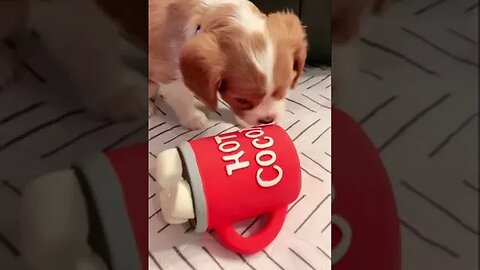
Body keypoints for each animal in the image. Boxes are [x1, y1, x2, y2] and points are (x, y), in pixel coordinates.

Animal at [149, 0, 308, 130]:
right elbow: (182, 98)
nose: (267, 120)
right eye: (241, 100)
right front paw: (193, 118)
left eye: (284, 91)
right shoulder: (168, 74)